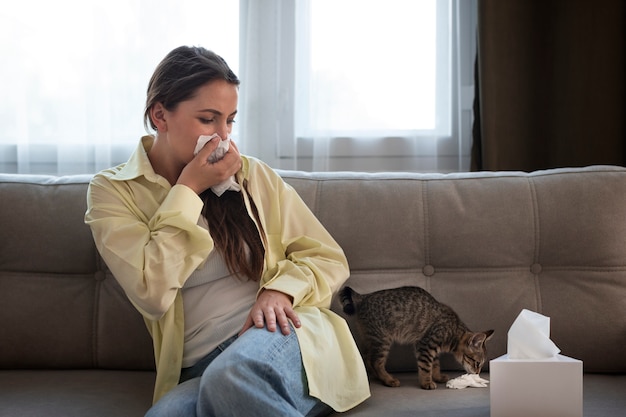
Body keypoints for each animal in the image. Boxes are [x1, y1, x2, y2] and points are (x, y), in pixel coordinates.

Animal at [338, 284, 494, 388]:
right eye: (477, 363)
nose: (477, 373)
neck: (454, 331)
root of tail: (364, 296)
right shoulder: (425, 345)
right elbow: (426, 366)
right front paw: (427, 382)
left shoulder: (431, 348)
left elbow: (435, 364)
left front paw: (437, 376)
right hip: (383, 340)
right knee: (376, 362)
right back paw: (388, 380)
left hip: (370, 339)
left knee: (366, 358)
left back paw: (377, 377)